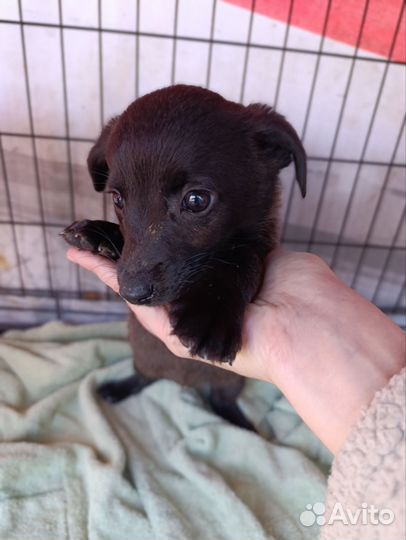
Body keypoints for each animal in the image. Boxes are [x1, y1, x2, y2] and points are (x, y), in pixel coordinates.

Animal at [61, 85, 306, 430]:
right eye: (118, 199)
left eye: (197, 200)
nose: (132, 293)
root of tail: (183, 383)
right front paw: (96, 233)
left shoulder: (262, 245)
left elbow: (241, 260)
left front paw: (210, 314)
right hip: (142, 355)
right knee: (143, 377)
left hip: (232, 381)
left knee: (222, 399)